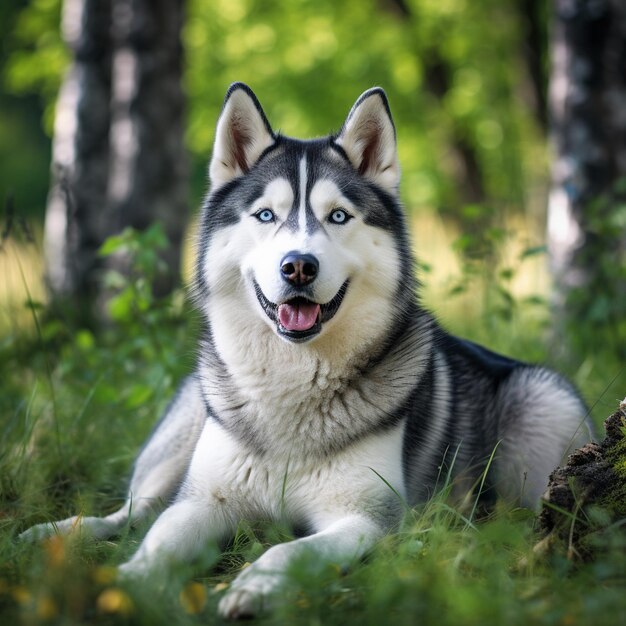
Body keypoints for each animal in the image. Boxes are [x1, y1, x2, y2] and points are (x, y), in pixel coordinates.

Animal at [23, 85, 588, 616]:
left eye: (338, 216)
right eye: (265, 215)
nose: (298, 265)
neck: (291, 381)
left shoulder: (365, 518)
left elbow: (289, 550)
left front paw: (253, 588)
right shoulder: (205, 500)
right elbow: (159, 542)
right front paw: (126, 587)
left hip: (547, 404)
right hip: (181, 434)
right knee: (134, 512)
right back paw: (55, 534)